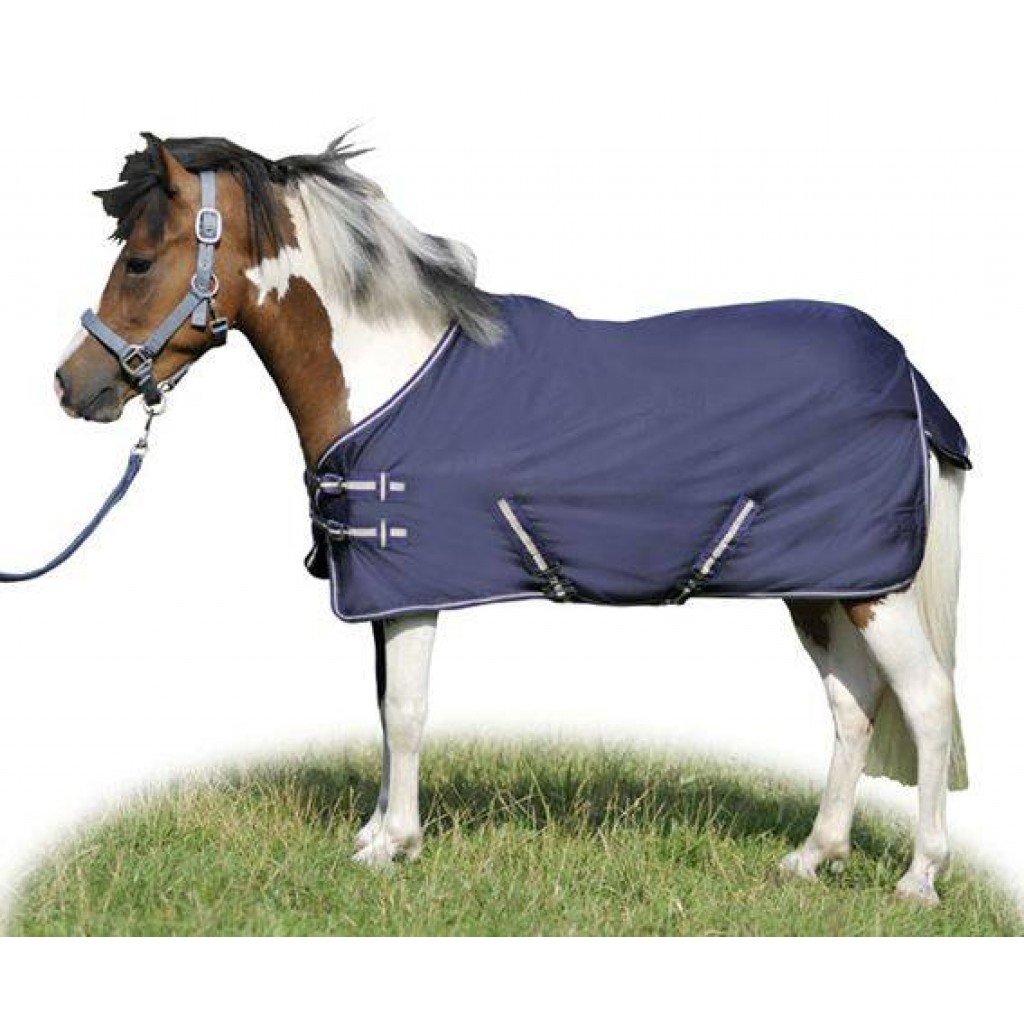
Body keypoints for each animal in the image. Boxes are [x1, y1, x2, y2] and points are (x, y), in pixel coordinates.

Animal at [54, 133, 969, 906]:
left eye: (139, 261)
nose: (72, 385)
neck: (389, 372)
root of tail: (908, 377)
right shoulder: (384, 591)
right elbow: (384, 709)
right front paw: (376, 834)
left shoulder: (411, 587)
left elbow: (404, 713)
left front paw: (393, 846)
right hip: (821, 586)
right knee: (854, 706)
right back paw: (814, 857)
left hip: (874, 592)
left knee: (926, 702)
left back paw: (919, 877)